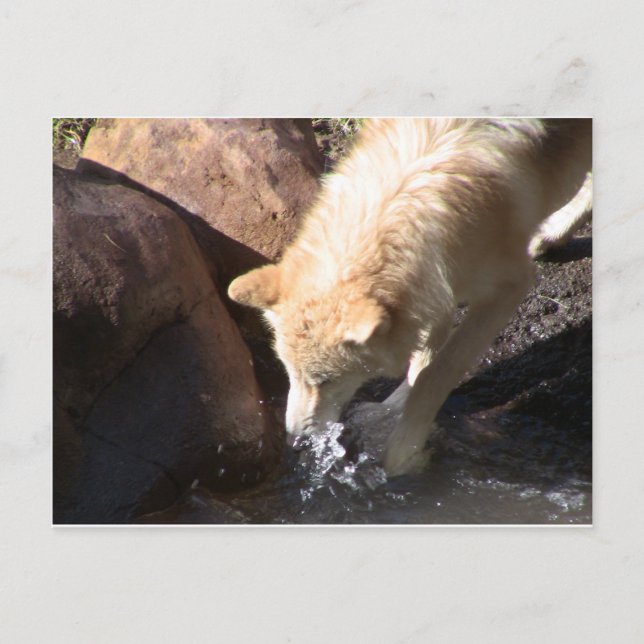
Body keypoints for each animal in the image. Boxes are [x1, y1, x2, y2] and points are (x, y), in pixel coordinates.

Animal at [228, 118, 592, 476]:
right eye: (288, 372)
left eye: (326, 381)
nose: (297, 442)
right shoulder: (436, 284)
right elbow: (421, 363)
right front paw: (387, 414)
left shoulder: (509, 286)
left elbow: (437, 373)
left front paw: (403, 453)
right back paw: (552, 234)